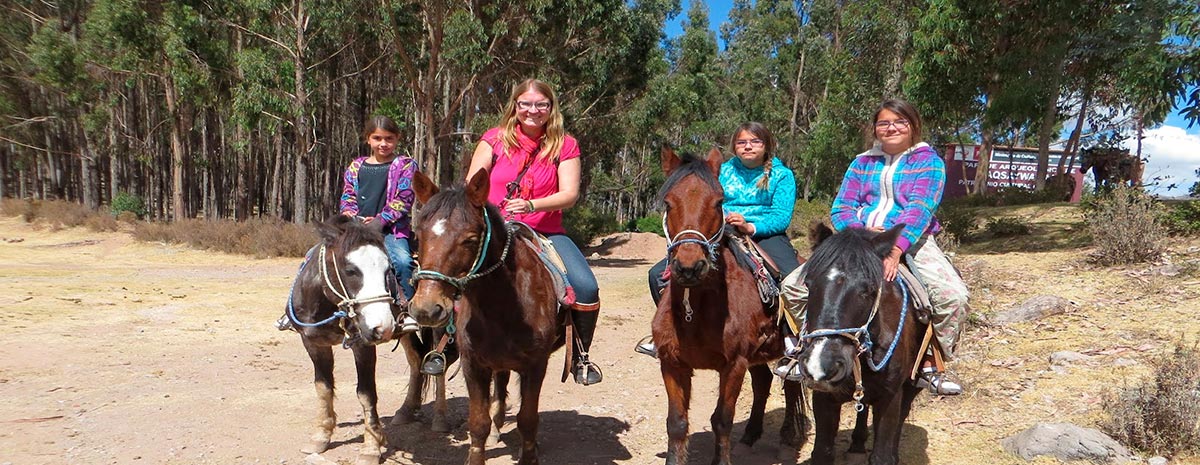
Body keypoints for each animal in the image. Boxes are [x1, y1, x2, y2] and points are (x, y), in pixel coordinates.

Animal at [285, 215, 403, 465]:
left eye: (388, 269)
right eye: (351, 270)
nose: (384, 327)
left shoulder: (363, 344)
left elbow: (366, 393)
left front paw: (371, 447)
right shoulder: (313, 344)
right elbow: (323, 387)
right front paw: (321, 435)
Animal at [652, 148, 811, 465]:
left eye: (718, 202)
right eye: (668, 202)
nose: (690, 267)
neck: (697, 309)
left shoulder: (733, 365)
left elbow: (722, 420)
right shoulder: (672, 363)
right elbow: (676, 423)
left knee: (788, 387)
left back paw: (787, 440)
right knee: (762, 383)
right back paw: (749, 437)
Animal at [796, 222, 926, 465]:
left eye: (869, 289)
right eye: (809, 284)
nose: (821, 365)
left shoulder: (889, 398)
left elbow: (882, 454)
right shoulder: (824, 398)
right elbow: (823, 453)